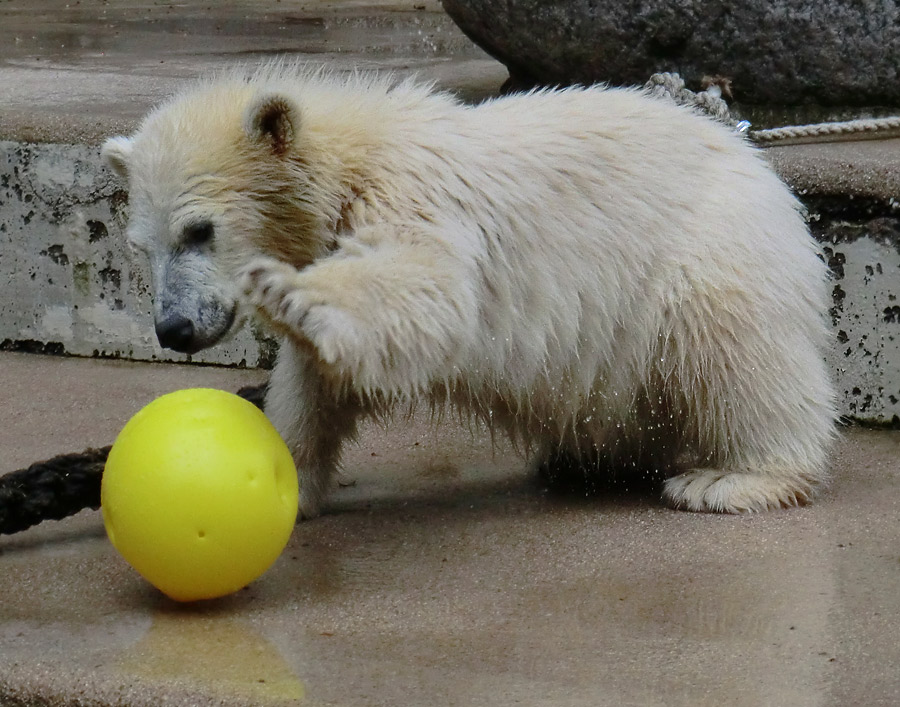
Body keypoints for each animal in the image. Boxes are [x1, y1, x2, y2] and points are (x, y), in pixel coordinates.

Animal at [103, 65, 836, 520]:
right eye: (142, 246)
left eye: (200, 230)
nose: (173, 329)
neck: (353, 158)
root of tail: (758, 164)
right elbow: (314, 383)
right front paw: (291, 481)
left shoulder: (413, 197)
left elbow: (428, 285)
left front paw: (291, 295)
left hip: (707, 246)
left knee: (731, 349)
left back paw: (733, 478)